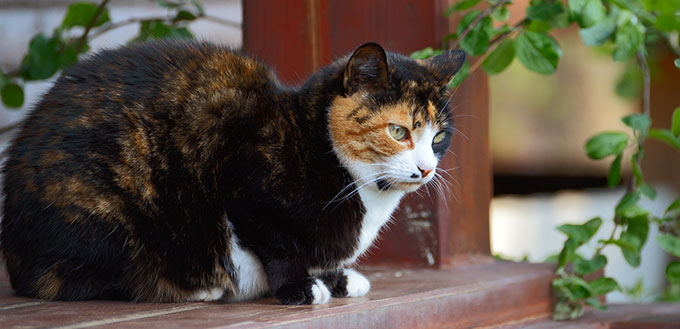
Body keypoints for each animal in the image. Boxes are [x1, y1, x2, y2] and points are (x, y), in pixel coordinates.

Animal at [0, 39, 464, 304]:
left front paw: (337, 279)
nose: (426, 168)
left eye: (439, 136)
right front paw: (300, 287)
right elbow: (277, 245)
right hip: (105, 219)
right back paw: (195, 288)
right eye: (399, 131)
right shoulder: (241, 179)